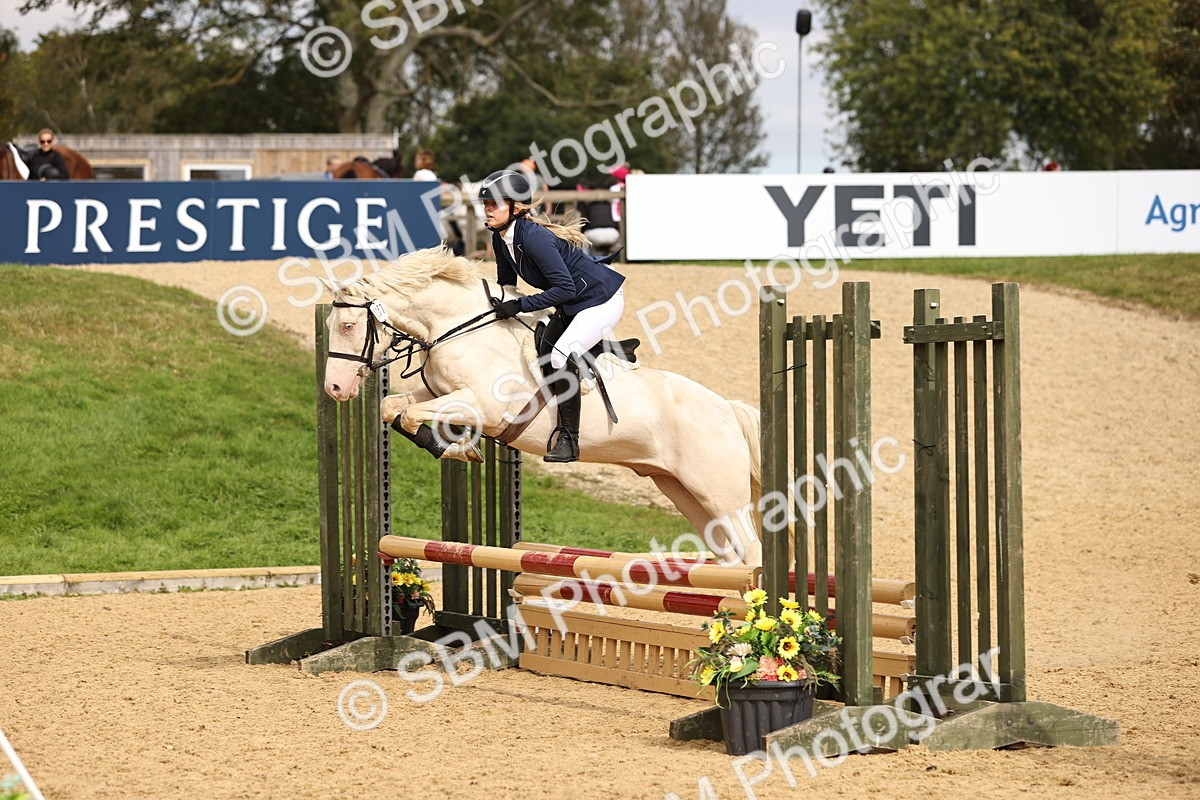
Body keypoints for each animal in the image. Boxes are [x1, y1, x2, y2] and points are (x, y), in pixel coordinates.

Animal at [321, 246, 764, 566]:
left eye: (348, 326)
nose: (334, 388)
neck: (457, 329)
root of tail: (727, 408)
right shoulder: (440, 394)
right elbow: (393, 407)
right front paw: (457, 447)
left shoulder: (484, 405)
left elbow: (412, 414)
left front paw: (457, 448)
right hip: (682, 491)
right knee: (730, 555)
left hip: (720, 494)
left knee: (751, 551)